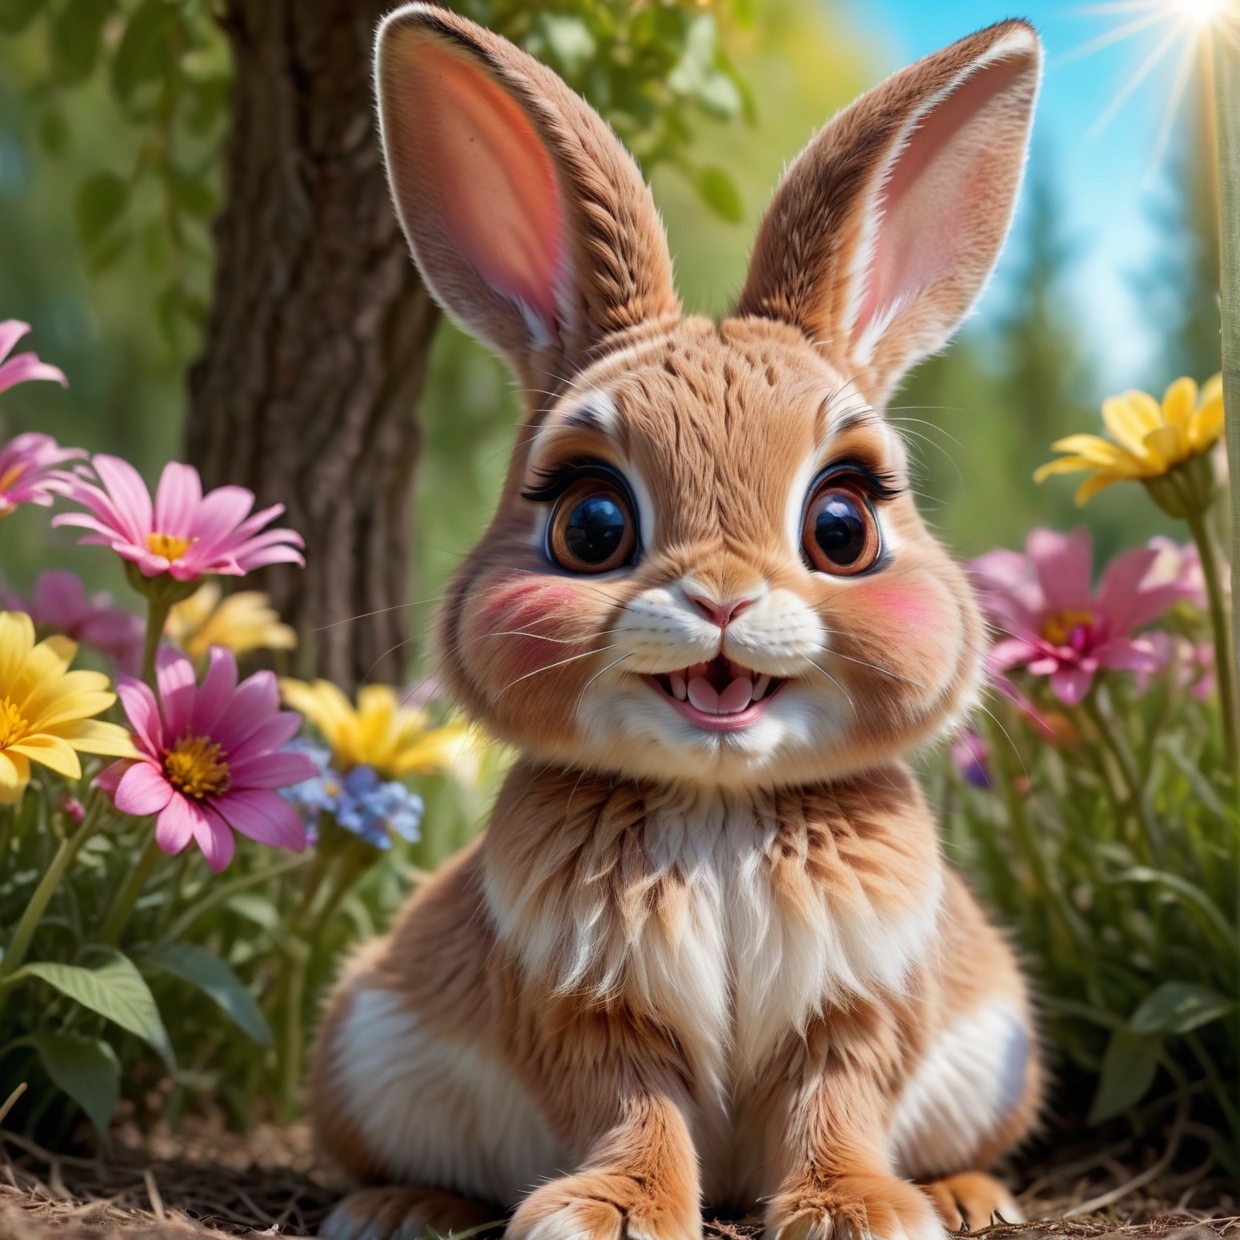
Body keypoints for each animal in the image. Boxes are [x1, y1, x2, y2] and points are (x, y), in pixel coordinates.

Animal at [308, 7, 1045, 1240]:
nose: (722, 599)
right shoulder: (593, 1007)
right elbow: (632, 1107)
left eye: (842, 524)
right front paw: (603, 1213)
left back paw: (965, 1194)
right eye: (592, 523)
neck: (719, 800)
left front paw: (860, 1211)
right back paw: (401, 1207)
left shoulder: (853, 1005)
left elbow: (832, 1101)